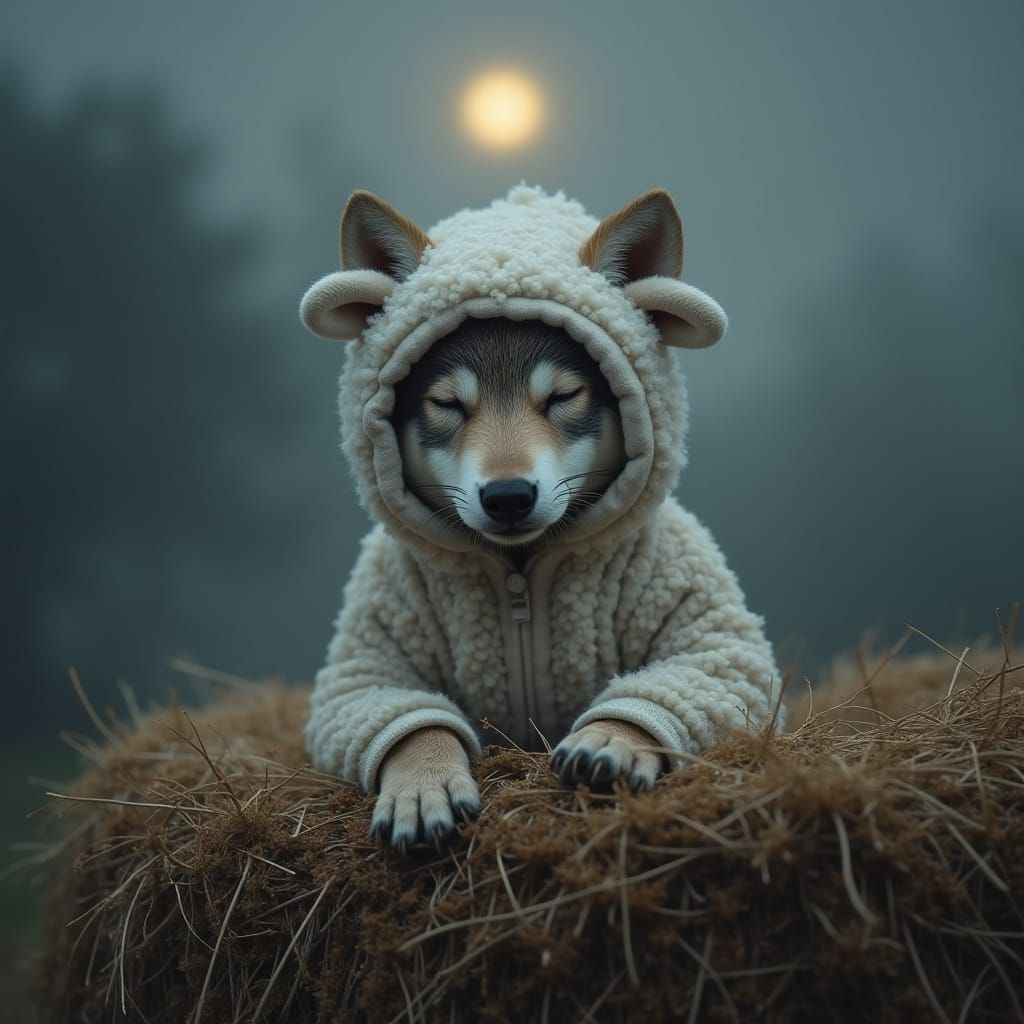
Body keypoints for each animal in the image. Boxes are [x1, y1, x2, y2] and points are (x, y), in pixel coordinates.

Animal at [300, 186, 780, 852]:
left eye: (563, 397)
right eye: (447, 404)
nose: (507, 496)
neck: (520, 574)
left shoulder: (711, 631)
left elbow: (695, 677)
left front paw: (612, 737)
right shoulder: (367, 659)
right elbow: (410, 722)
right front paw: (423, 781)